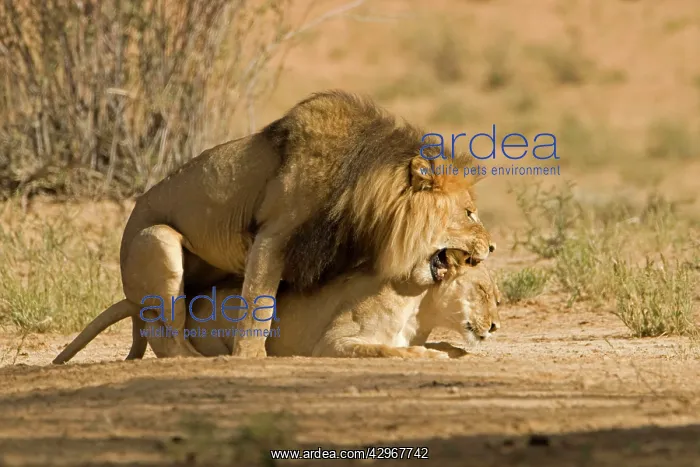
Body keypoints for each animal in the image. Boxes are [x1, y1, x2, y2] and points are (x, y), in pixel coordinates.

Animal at [52, 247, 501, 363]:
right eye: (484, 292)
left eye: (497, 297)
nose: (496, 326)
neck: (421, 309)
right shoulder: (332, 343)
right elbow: (387, 349)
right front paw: (432, 355)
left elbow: (444, 344)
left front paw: (453, 351)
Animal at [100, 90, 494, 359]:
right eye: (469, 213)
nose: (491, 247)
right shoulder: (272, 237)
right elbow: (259, 305)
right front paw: (251, 356)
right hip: (157, 239)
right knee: (165, 333)